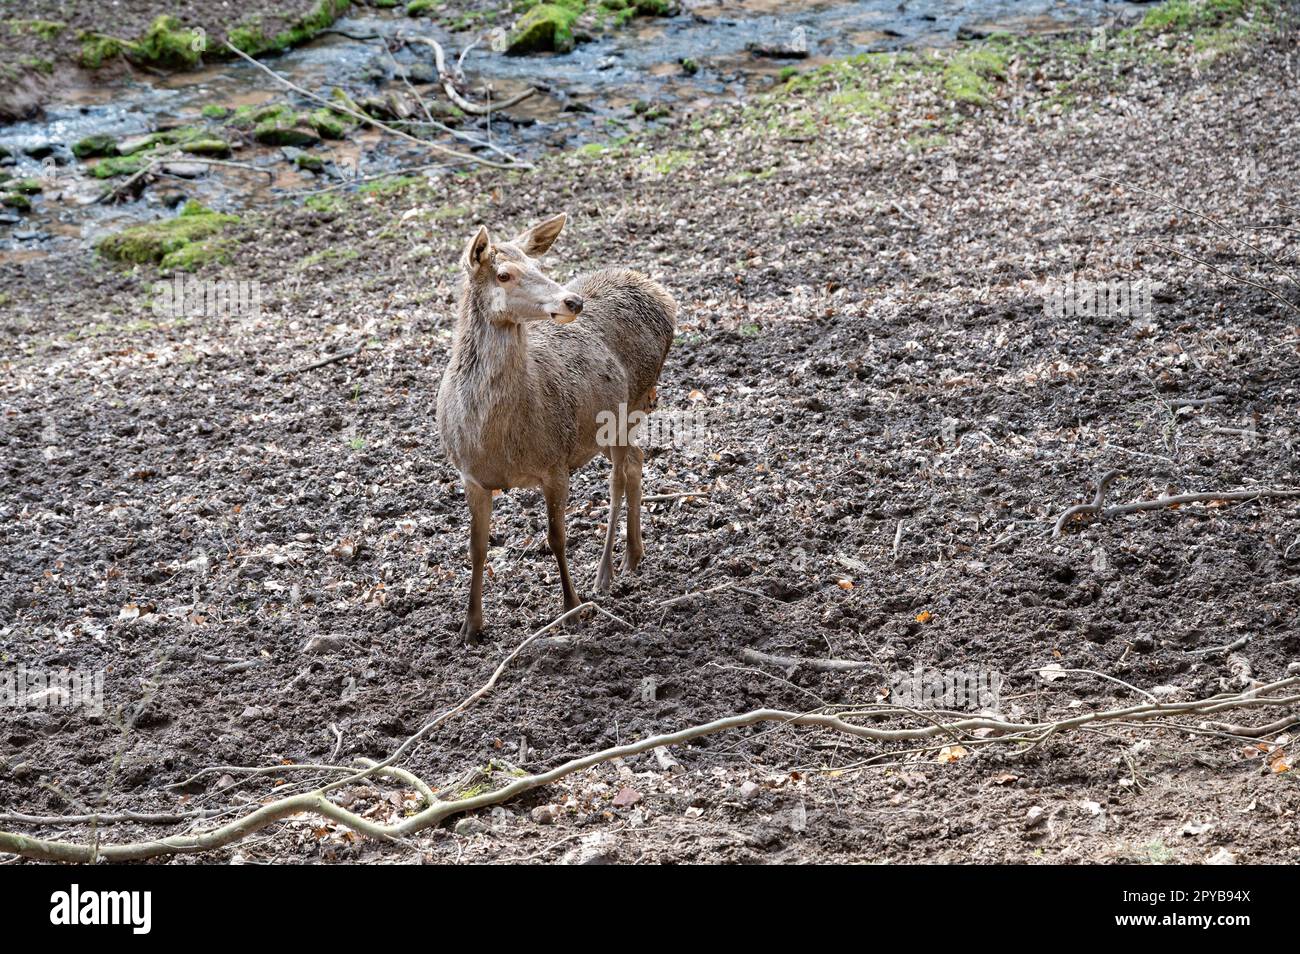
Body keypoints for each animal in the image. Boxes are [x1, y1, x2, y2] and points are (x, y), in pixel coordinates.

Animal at [437, 213, 677, 642]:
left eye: (538, 265)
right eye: (504, 274)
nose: (572, 301)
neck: (497, 441)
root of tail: (663, 296)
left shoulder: (555, 463)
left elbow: (556, 538)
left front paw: (571, 609)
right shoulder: (470, 476)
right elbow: (476, 548)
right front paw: (470, 626)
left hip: (629, 405)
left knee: (622, 473)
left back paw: (606, 572)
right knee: (636, 461)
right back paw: (633, 556)